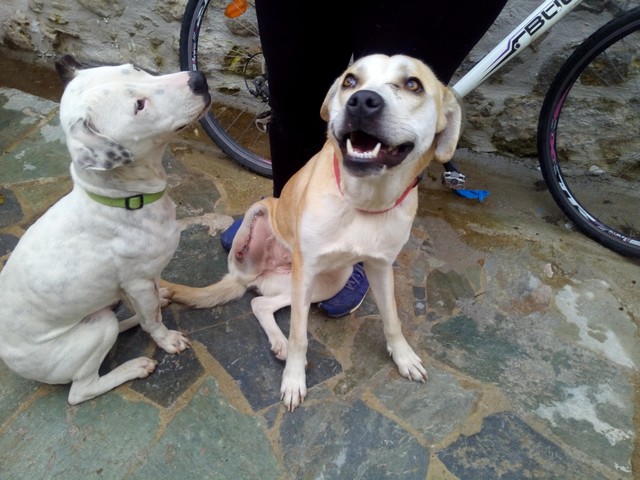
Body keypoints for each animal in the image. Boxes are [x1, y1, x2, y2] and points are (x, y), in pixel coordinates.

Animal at [0, 55, 211, 405]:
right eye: (139, 106)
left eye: (136, 69)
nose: (199, 79)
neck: (123, 201)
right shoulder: (137, 281)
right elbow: (153, 319)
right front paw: (166, 340)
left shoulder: (146, 279)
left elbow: (150, 308)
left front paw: (157, 305)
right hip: (96, 329)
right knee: (81, 390)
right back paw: (134, 367)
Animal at [162, 54, 462, 411]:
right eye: (350, 81)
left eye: (413, 84)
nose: (362, 101)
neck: (364, 199)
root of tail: (250, 277)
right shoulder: (306, 268)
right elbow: (299, 336)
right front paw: (293, 381)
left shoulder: (380, 266)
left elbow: (392, 318)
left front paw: (403, 357)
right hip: (270, 226)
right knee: (255, 247)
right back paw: (244, 252)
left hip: (328, 280)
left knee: (261, 304)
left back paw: (277, 341)